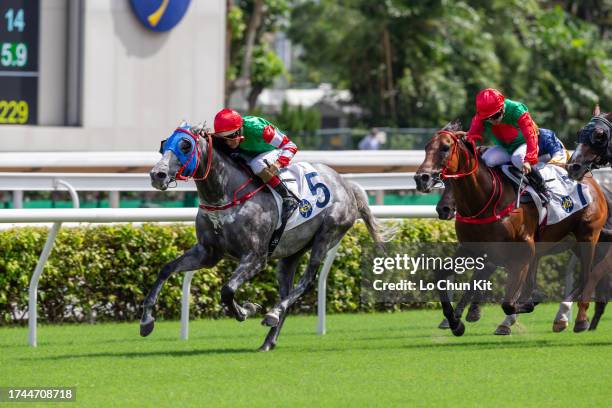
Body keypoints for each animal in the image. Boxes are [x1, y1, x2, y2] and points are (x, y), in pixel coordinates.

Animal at [140, 122, 392, 352]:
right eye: (164, 144)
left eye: (185, 145)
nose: (157, 175)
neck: (227, 196)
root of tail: (346, 183)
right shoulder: (208, 253)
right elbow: (166, 269)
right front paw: (146, 321)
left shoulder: (256, 257)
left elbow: (227, 290)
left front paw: (246, 310)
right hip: (291, 253)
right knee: (288, 292)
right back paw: (269, 340)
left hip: (327, 234)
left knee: (308, 281)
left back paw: (272, 313)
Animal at [416, 120, 608, 334]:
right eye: (426, 147)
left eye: (445, 147)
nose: (421, 178)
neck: (486, 201)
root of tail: (590, 179)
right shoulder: (471, 249)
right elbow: (440, 275)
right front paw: (455, 322)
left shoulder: (520, 254)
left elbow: (509, 302)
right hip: (571, 244)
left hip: (588, 237)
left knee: (588, 275)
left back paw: (574, 318)